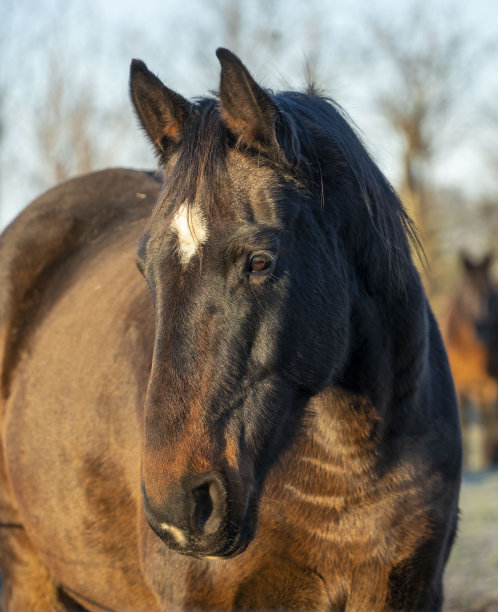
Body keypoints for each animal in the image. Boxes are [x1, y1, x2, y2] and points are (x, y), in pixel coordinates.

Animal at [442, 253, 498, 468]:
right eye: (466, 295)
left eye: (491, 296)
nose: (482, 331)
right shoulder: (459, 386)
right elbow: (464, 422)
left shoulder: (491, 386)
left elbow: (491, 421)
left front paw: (488, 459)